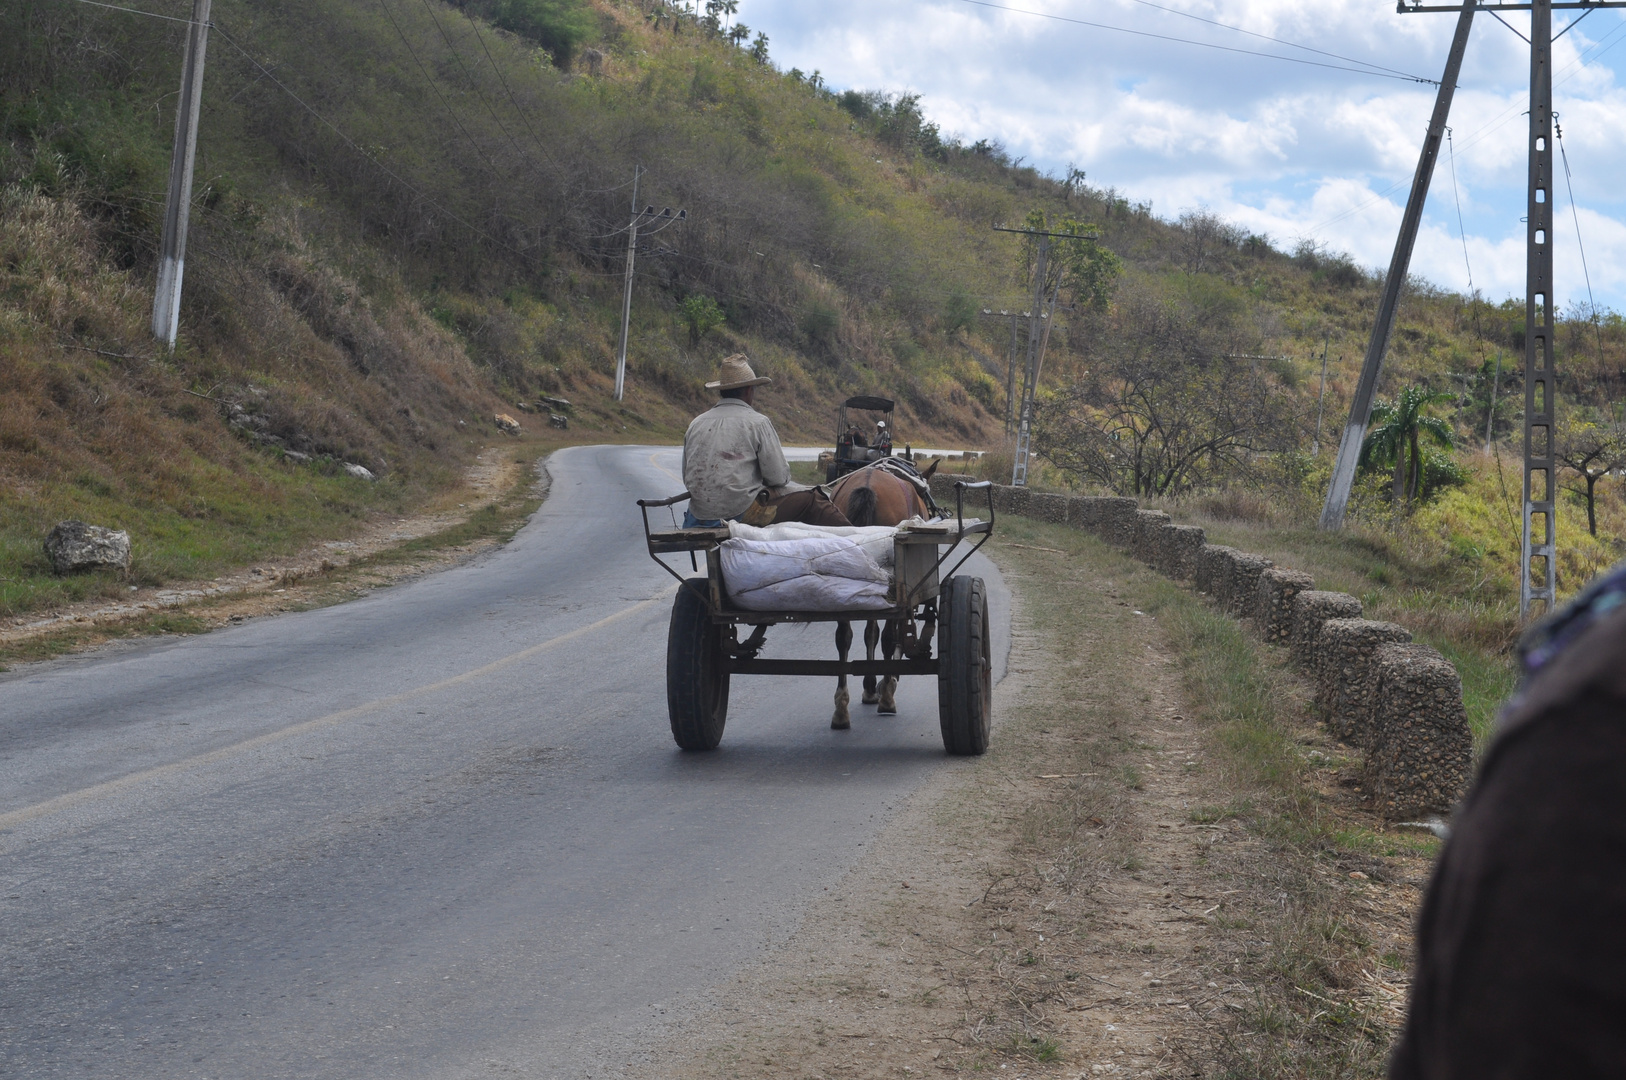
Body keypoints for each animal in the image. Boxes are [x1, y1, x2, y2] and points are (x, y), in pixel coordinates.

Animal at [826, 458, 943, 728]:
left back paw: (841, 708)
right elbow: (893, 635)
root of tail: (868, 485)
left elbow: (870, 633)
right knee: (889, 636)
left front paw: (869, 685)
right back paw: (887, 696)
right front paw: (883, 684)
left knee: (843, 636)